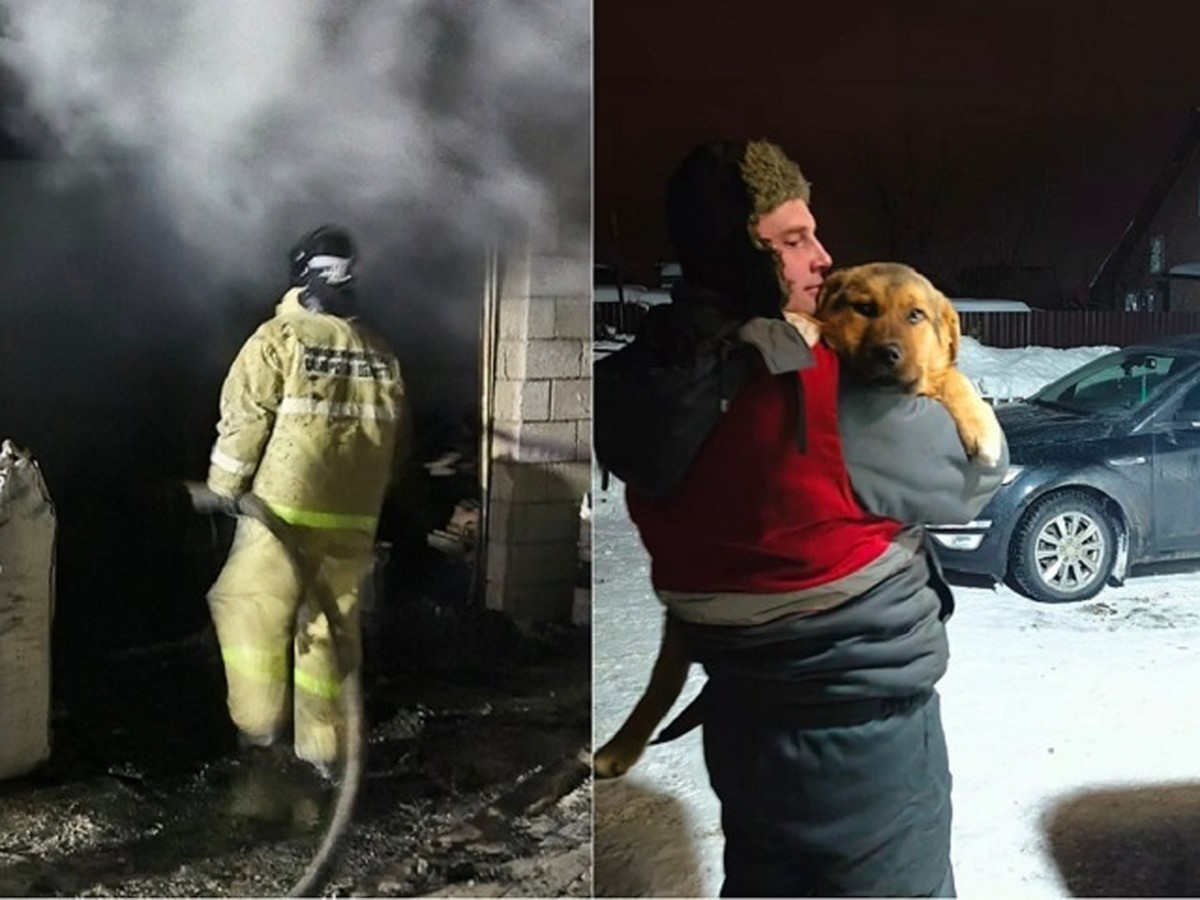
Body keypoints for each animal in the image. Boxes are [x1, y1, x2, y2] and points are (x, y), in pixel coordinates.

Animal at [597, 262, 1003, 782]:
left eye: (915, 315)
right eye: (864, 308)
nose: (889, 355)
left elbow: (952, 376)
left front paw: (982, 426)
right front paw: (803, 326)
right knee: (662, 678)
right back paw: (620, 746)